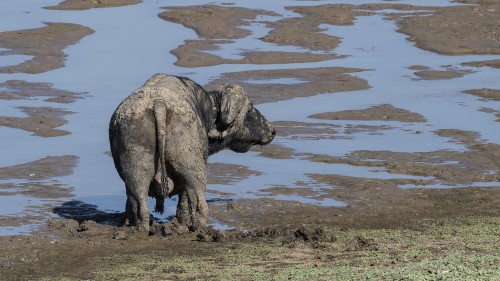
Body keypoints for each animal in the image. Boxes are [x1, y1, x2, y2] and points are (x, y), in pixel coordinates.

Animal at [108, 73, 278, 231]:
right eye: (249, 109)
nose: (272, 131)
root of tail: (158, 103)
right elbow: (185, 200)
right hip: (192, 168)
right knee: (198, 199)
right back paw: (198, 227)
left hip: (136, 169)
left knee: (138, 200)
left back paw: (140, 226)